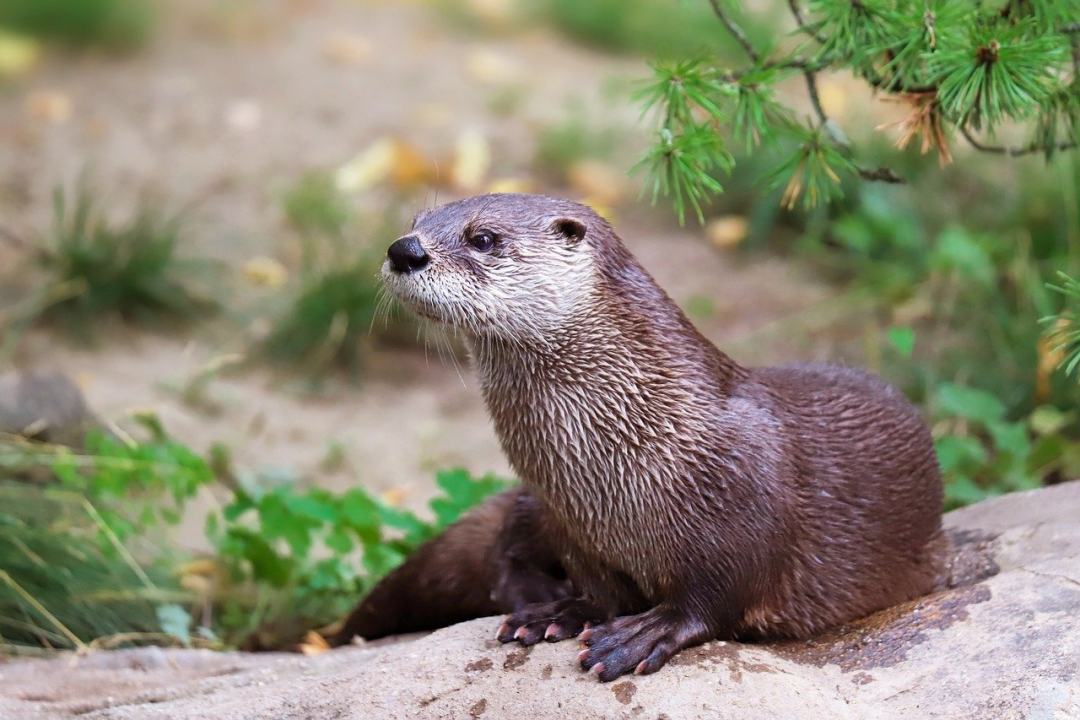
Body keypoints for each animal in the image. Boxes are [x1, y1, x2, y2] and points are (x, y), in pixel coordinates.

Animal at [330, 195, 946, 682]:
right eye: (416, 220)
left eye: (483, 238)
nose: (404, 250)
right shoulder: (571, 520)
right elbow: (601, 589)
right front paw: (567, 611)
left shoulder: (746, 503)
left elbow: (718, 595)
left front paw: (645, 632)